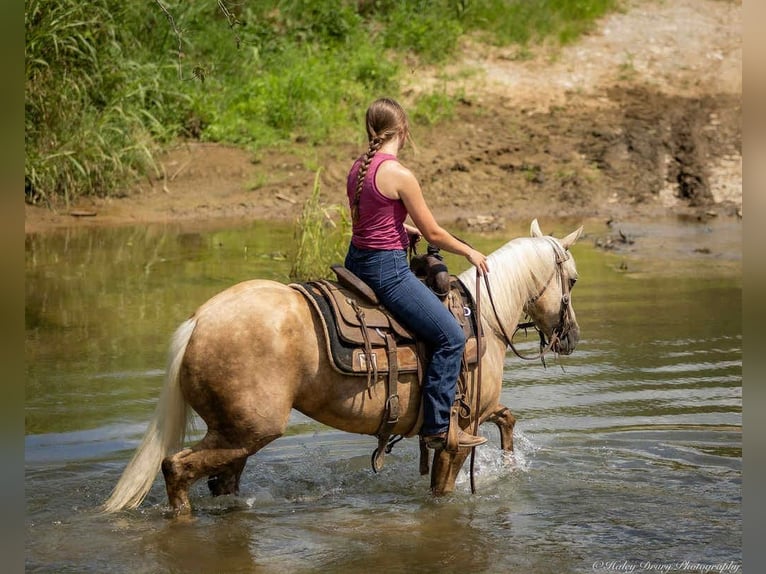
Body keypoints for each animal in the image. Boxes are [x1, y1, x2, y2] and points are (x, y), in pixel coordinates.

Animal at [103, 219, 583, 514]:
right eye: (573, 280)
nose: (572, 337)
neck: (482, 318)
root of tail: (200, 320)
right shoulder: (455, 435)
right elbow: (444, 489)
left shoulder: (474, 415)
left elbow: (507, 416)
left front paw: (510, 464)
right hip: (248, 430)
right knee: (175, 468)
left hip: (233, 433)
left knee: (219, 482)